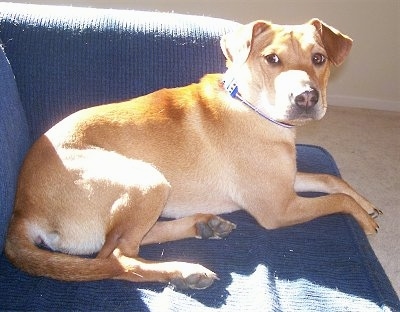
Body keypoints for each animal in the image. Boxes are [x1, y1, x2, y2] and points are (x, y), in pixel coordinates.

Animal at [6, 18, 382, 290]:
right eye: (272, 59)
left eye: (319, 59)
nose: (306, 97)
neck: (252, 107)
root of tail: (22, 210)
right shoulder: (278, 209)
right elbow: (337, 200)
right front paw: (364, 219)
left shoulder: (286, 183)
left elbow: (330, 178)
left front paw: (367, 204)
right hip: (149, 179)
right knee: (119, 257)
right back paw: (184, 271)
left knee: (129, 244)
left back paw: (204, 225)